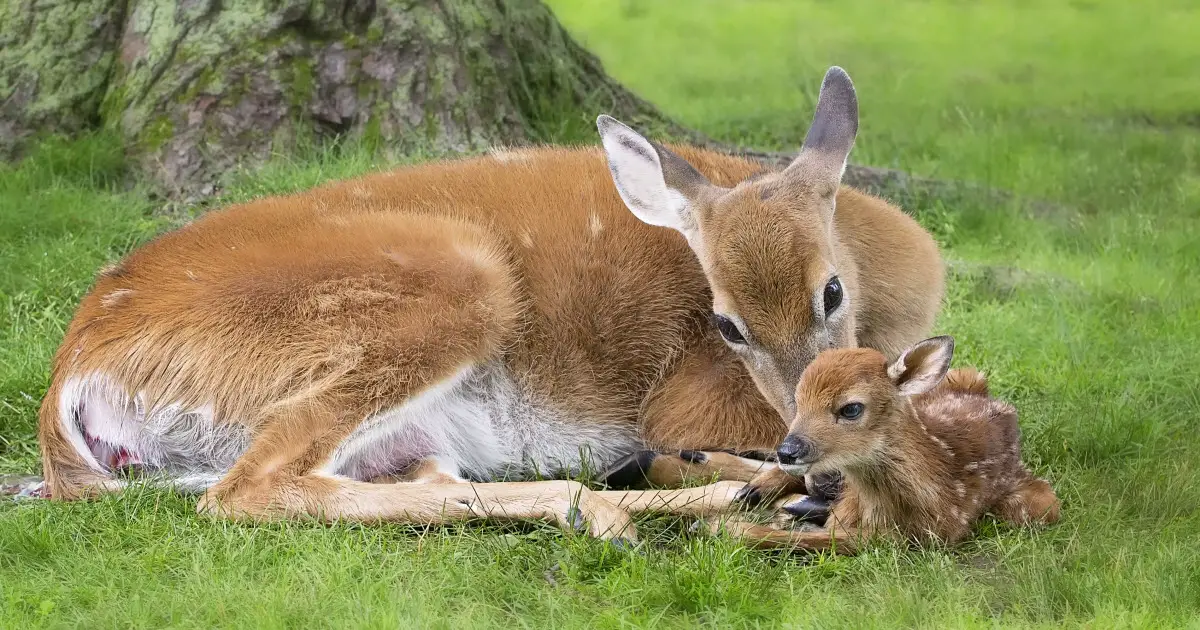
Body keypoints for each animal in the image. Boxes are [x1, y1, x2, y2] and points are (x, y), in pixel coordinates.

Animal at [37, 66, 940, 537]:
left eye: (830, 291)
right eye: (725, 324)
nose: (806, 453)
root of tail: (71, 374)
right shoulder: (686, 397)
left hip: (410, 428)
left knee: (414, 479)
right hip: (457, 284)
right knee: (248, 488)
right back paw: (652, 506)